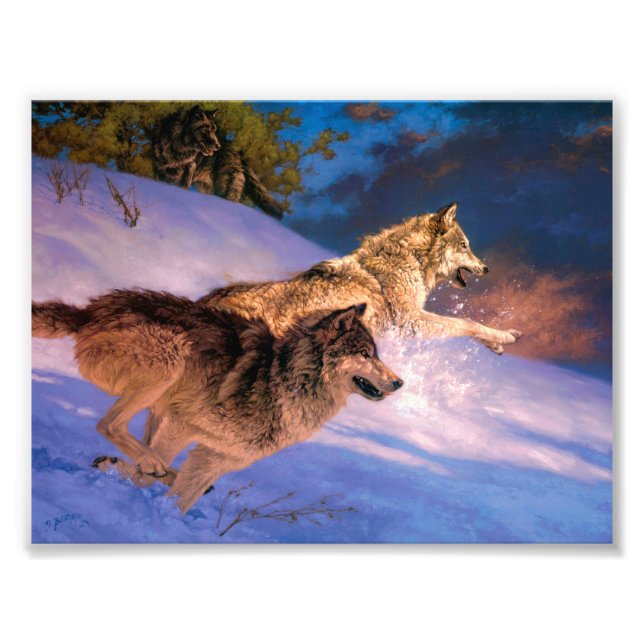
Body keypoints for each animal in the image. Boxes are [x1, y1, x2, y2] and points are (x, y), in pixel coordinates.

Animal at [32, 291, 401, 512]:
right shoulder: (182, 424)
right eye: (365, 354)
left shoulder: (217, 458)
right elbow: (151, 477)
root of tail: (88, 311)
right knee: (109, 425)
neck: (285, 380)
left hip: (159, 402)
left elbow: (183, 499)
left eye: (375, 354)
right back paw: (149, 463)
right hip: (171, 360)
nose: (399, 383)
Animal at [200, 202, 522, 354]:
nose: (486, 268)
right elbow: (466, 322)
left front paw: (497, 343)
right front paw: (505, 336)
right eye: (465, 246)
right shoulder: (410, 322)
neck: (410, 261)